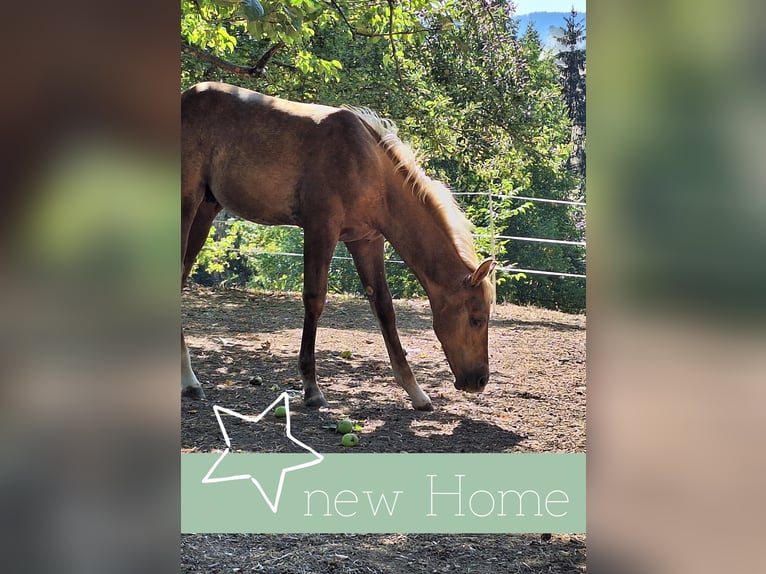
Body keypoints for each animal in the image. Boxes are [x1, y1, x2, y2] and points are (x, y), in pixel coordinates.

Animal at [181, 81, 495, 411]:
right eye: (476, 319)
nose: (479, 381)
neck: (369, 166)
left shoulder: (366, 241)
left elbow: (384, 307)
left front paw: (416, 392)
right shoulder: (321, 231)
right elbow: (315, 299)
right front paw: (311, 388)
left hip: (205, 211)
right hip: (186, 205)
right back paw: (189, 380)